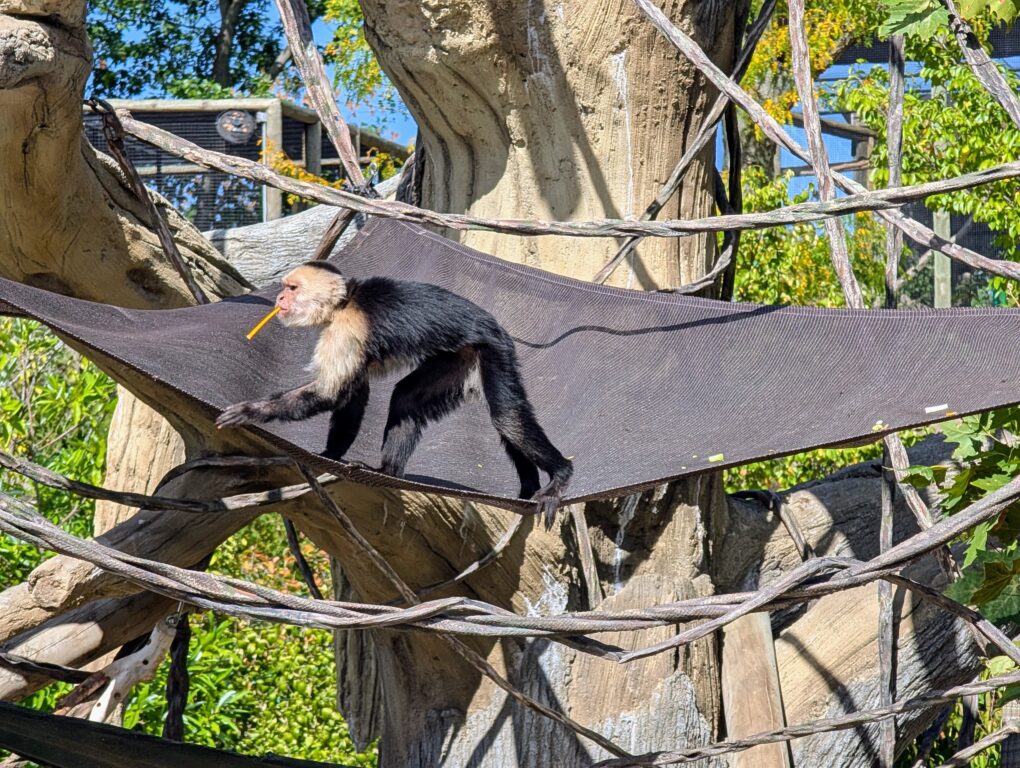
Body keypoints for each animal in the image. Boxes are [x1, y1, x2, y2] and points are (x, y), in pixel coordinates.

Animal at [216, 261, 573, 523]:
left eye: (292, 288)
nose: (279, 300)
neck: (344, 302)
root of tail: (498, 327)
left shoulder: (347, 327)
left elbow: (331, 393)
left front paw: (251, 411)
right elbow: (353, 394)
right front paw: (331, 455)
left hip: (493, 350)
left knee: (506, 415)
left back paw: (559, 477)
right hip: (460, 357)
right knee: (407, 398)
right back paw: (388, 472)